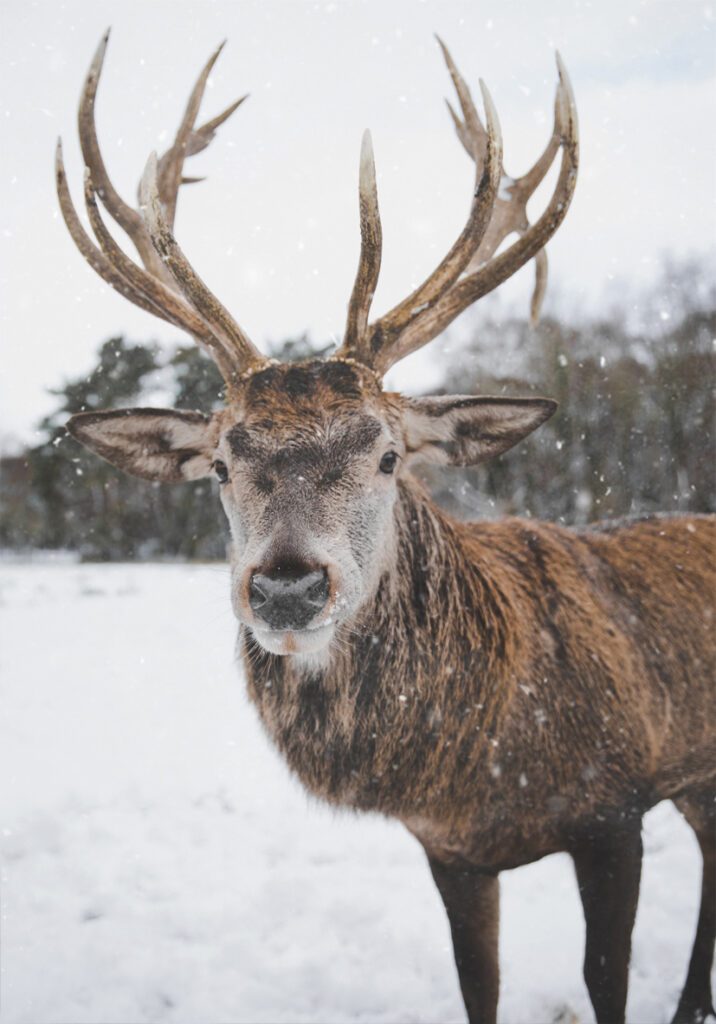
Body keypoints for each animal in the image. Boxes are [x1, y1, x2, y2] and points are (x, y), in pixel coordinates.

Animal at [57, 32, 715, 1024]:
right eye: (220, 466)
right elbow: (478, 985)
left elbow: (606, 982)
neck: (482, 767)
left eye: (388, 454)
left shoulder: (618, 803)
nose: (286, 585)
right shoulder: (448, 849)